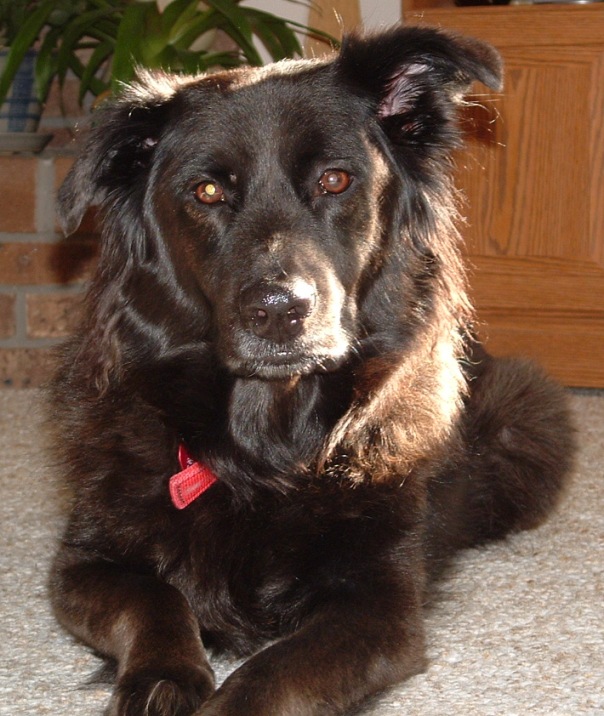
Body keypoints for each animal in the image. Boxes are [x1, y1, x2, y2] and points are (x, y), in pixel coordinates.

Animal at [49, 26, 575, 716]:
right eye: (207, 192)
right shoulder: (83, 563)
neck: (263, 450)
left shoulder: (380, 608)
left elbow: (270, 673)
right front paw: (162, 679)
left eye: (334, 180)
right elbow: (155, 599)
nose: (279, 310)